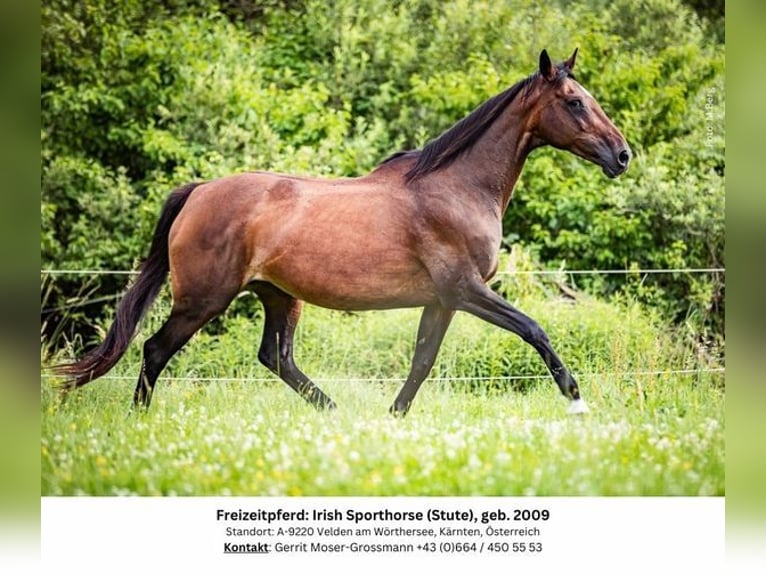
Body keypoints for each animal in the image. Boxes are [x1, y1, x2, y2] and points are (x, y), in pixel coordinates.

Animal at [57, 49, 632, 416]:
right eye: (575, 102)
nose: (622, 155)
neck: (457, 186)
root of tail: (198, 192)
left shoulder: (442, 300)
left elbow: (422, 361)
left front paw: (393, 418)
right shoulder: (466, 289)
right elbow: (534, 330)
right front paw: (577, 400)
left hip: (278, 295)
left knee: (277, 358)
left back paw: (332, 412)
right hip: (204, 299)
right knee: (156, 350)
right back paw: (140, 420)